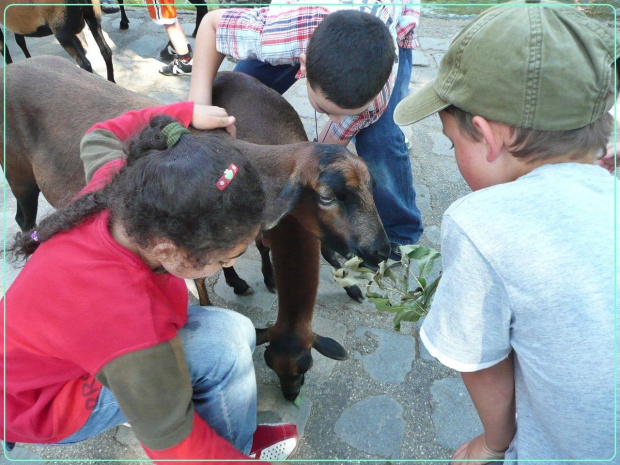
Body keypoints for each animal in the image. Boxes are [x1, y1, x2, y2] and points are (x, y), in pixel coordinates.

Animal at [1, 56, 388, 398]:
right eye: (327, 196)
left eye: (372, 185)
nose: (384, 250)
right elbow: (204, 279)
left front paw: (349, 286)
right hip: (19, 174)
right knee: (24, 219)